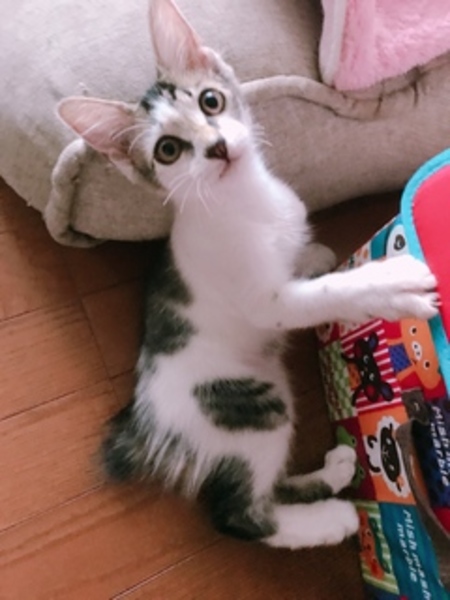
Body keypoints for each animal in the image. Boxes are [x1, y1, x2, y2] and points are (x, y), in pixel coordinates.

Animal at [57, 0, 438, 549]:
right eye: (168, 150)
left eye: (210, 101)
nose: (216, 147)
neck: (244, 199)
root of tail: (144, 422)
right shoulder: (264, 301)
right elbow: (325, 293)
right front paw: (391, 283)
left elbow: (302, 262)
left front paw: (314, 253)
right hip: (251, 406)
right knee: (240, 514)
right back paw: (333, 519)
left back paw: (335, 470)